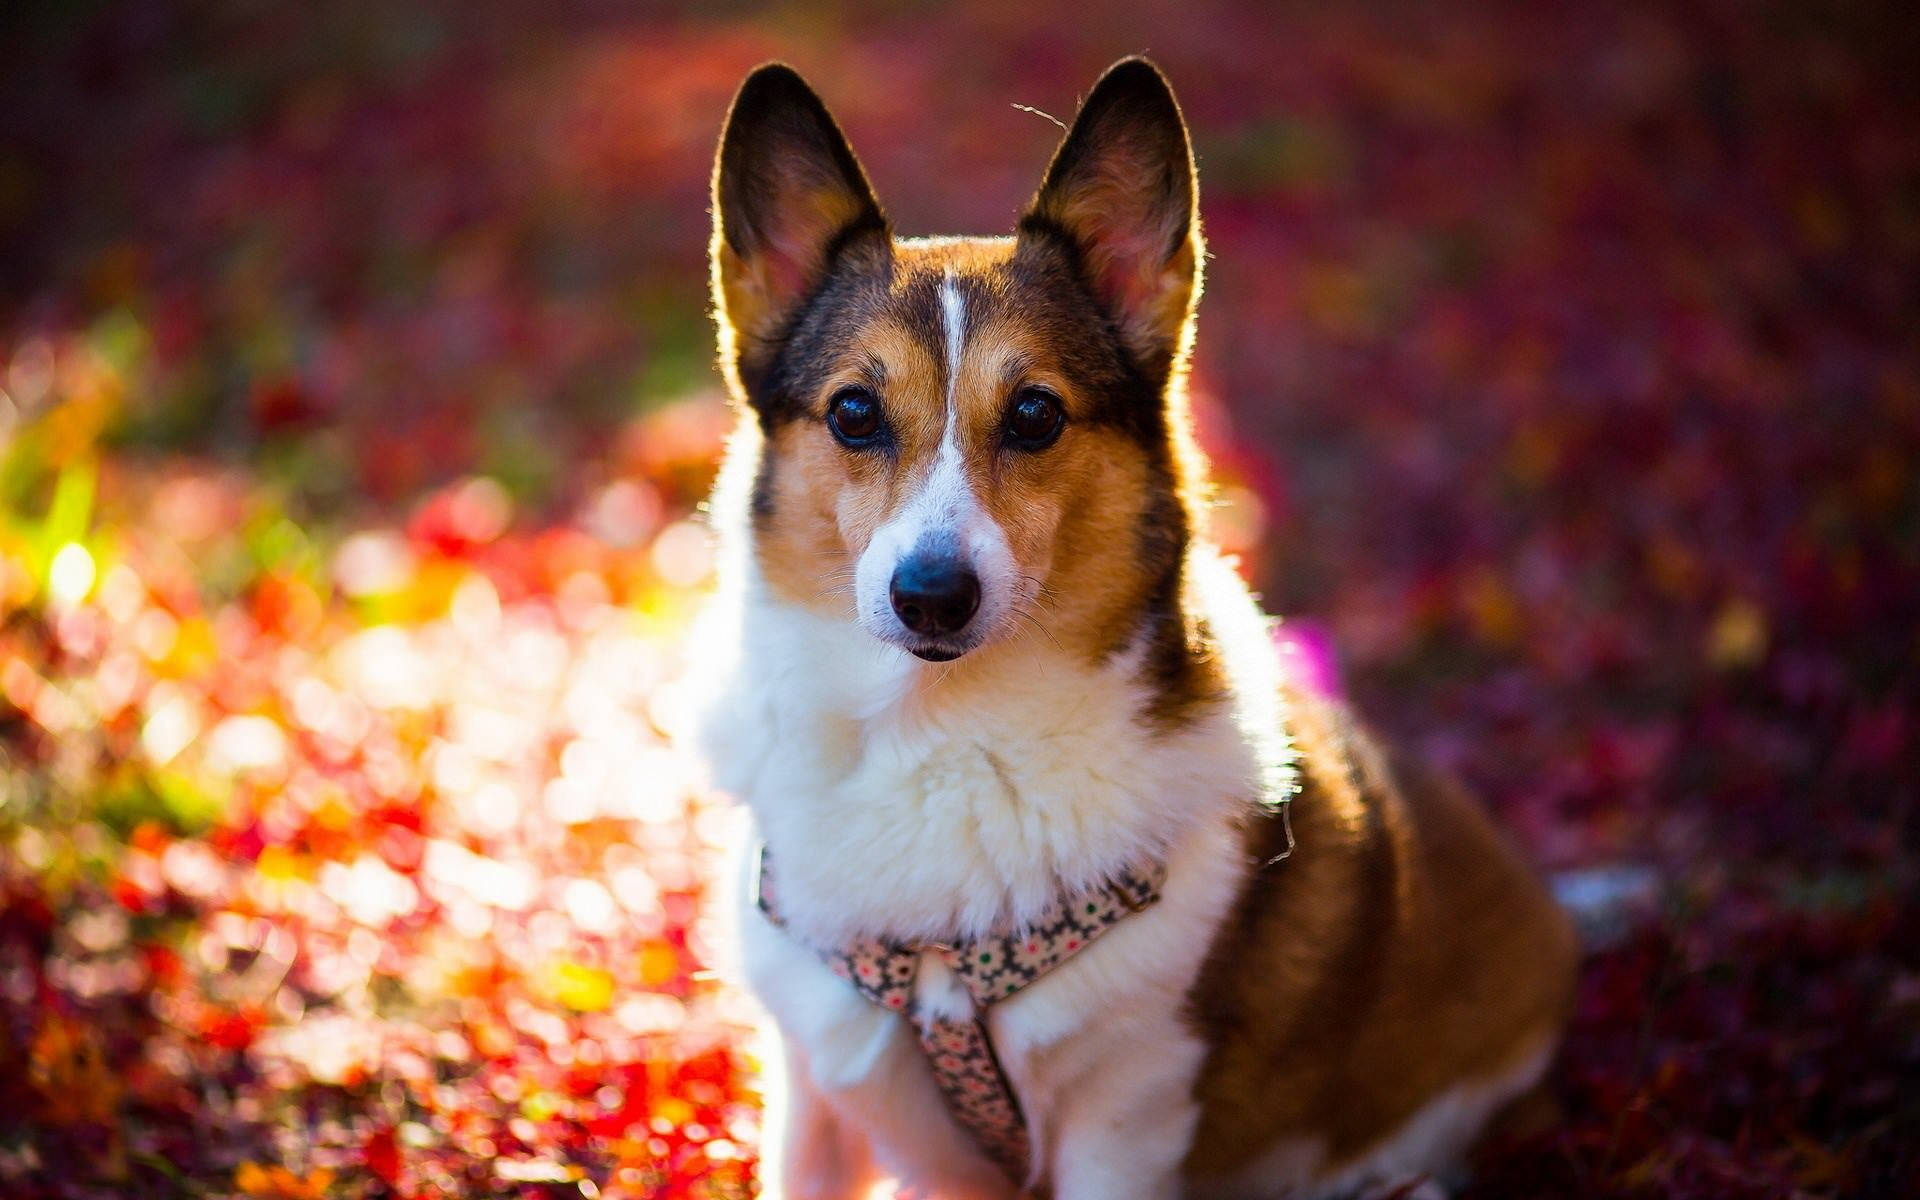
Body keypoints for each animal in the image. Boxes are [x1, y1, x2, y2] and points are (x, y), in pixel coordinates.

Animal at [691, 56, 1574, 1198]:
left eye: (1034, 414)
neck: (938, 739)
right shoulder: (812, 1093)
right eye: (852, 413)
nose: (930, 595)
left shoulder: (1127, 1117)